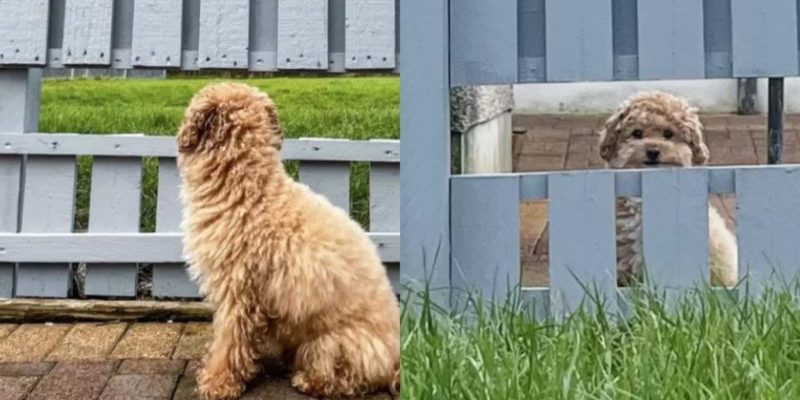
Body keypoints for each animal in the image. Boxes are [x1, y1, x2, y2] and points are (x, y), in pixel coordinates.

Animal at [176, 83, 400, 398]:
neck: (250, 187)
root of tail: (395, 360)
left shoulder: (238, 292)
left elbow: (230, 342)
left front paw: (219, 382)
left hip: (333, 344)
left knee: (346, 378)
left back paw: (307, 380)